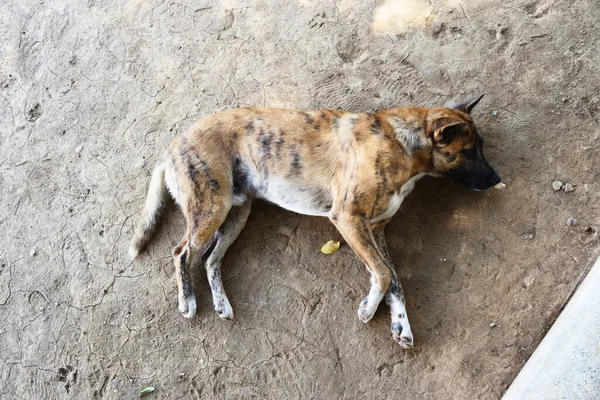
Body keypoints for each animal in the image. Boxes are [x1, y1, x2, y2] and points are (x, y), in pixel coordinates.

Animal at [131, 95, 502, 348]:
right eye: (469, 151)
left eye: (480, 147)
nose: (498, 179)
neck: (400, 142)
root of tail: (172, 146)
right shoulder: (348, 219)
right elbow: (383, 274)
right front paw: (369, 309)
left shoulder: (375, 230)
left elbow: (393, 279)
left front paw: (400, 324)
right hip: (212, 207)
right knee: (182, 252)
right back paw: (188, 301)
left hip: (237, 214)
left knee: (210, 259)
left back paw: (221, 303)